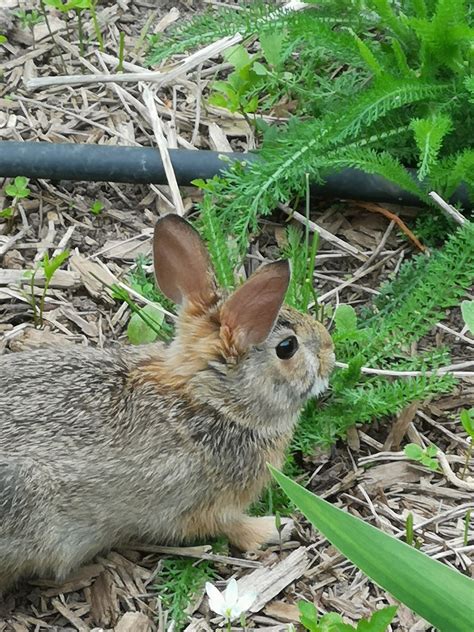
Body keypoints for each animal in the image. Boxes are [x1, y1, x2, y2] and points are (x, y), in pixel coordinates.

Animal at [0, 215, 336, 592]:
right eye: (287, 347)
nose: (330, 350)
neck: (213, 402)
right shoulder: (205, 507)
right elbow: (231, 527)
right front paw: (274, 529)